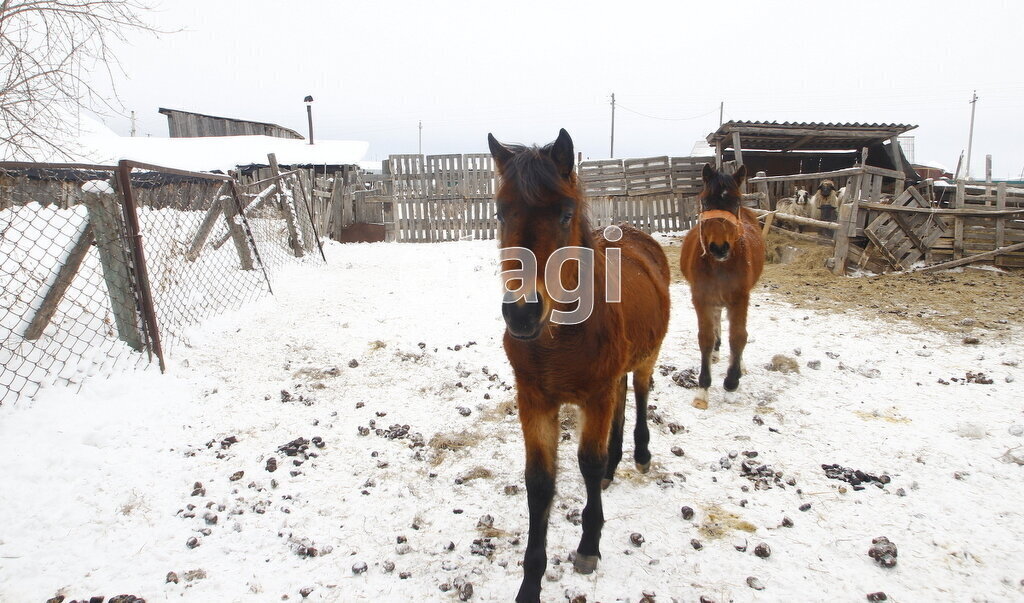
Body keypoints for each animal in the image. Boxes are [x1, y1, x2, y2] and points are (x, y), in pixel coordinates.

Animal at [487, 129, 671, 597]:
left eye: (564, 213)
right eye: (500, 212)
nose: (522, 313)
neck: (560, 338)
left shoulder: (594, 396)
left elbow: (587, 463)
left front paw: (588, 546)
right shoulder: (534, 399)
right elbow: (539, 481)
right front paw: (530, 582)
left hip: (645, 359)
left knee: (638, 395)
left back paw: (639, 455)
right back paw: (615, 463)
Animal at [675, 163, 765, 409]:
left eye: (735, 202)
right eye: (705, 202)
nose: (718, 247)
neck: (719, 265)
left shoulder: (740, 298)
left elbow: (739, 336)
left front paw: (732, 381)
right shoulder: (701, 297)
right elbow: (705, 338)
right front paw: (703, 389)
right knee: (716, 319)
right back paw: (715, 352)